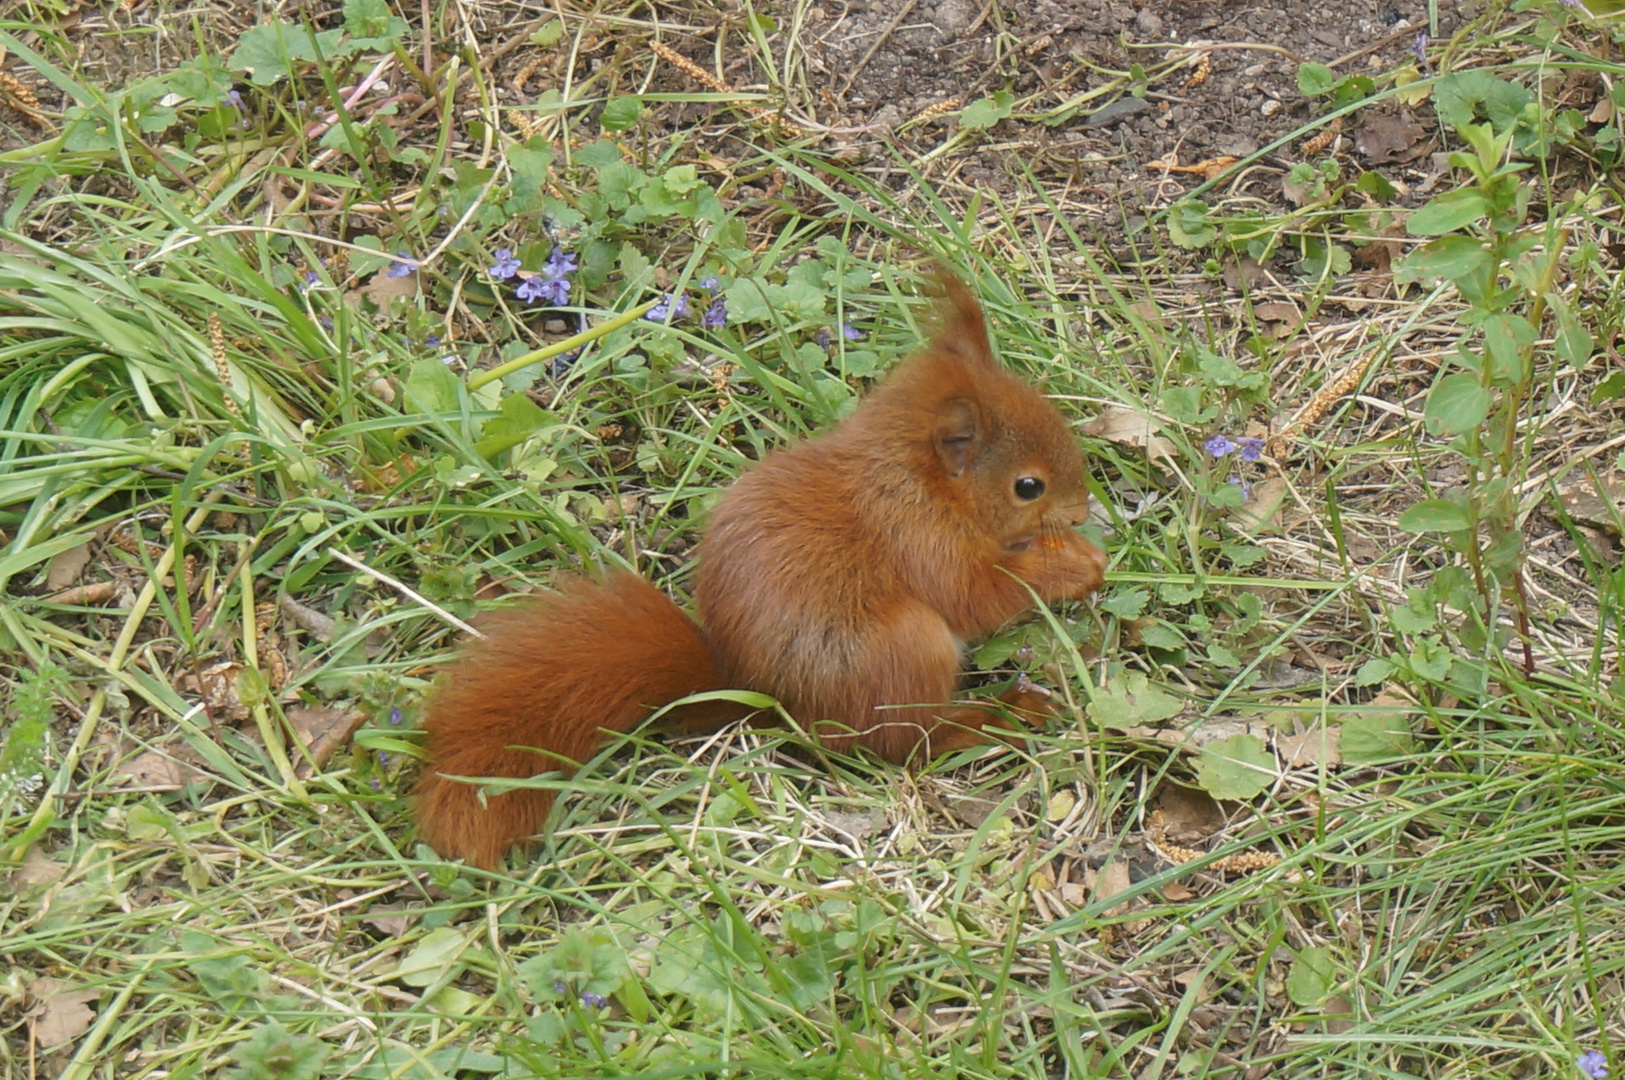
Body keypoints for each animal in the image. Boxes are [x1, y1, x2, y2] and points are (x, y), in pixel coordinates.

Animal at [412, 274, 1111, 864]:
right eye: (1028, 486)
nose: (1081, 512)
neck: (919, 483)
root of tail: (769, 701)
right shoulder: (919, 539)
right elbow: (977, 595)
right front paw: (1076, 565)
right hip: (904, 647)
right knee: (906, 741)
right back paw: (996, 715)